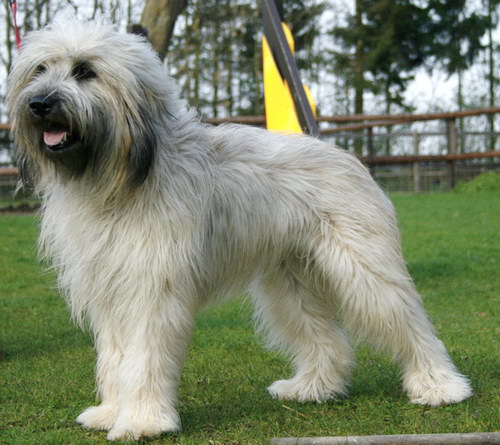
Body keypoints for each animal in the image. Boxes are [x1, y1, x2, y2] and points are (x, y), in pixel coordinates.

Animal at [5, 20, 470, 440]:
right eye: (40, 69)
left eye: (85, 71)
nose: (39, 104)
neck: (117, 178)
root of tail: (341, 154)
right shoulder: (109, 289)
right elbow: (116, 358)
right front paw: (110, 412)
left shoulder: (151, 289)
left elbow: (143, 357)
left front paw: (142, 421)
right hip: (289, 281)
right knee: (327, 339)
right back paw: (313, 388)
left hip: (363, 268)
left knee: (409, 323)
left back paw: (440, 386)